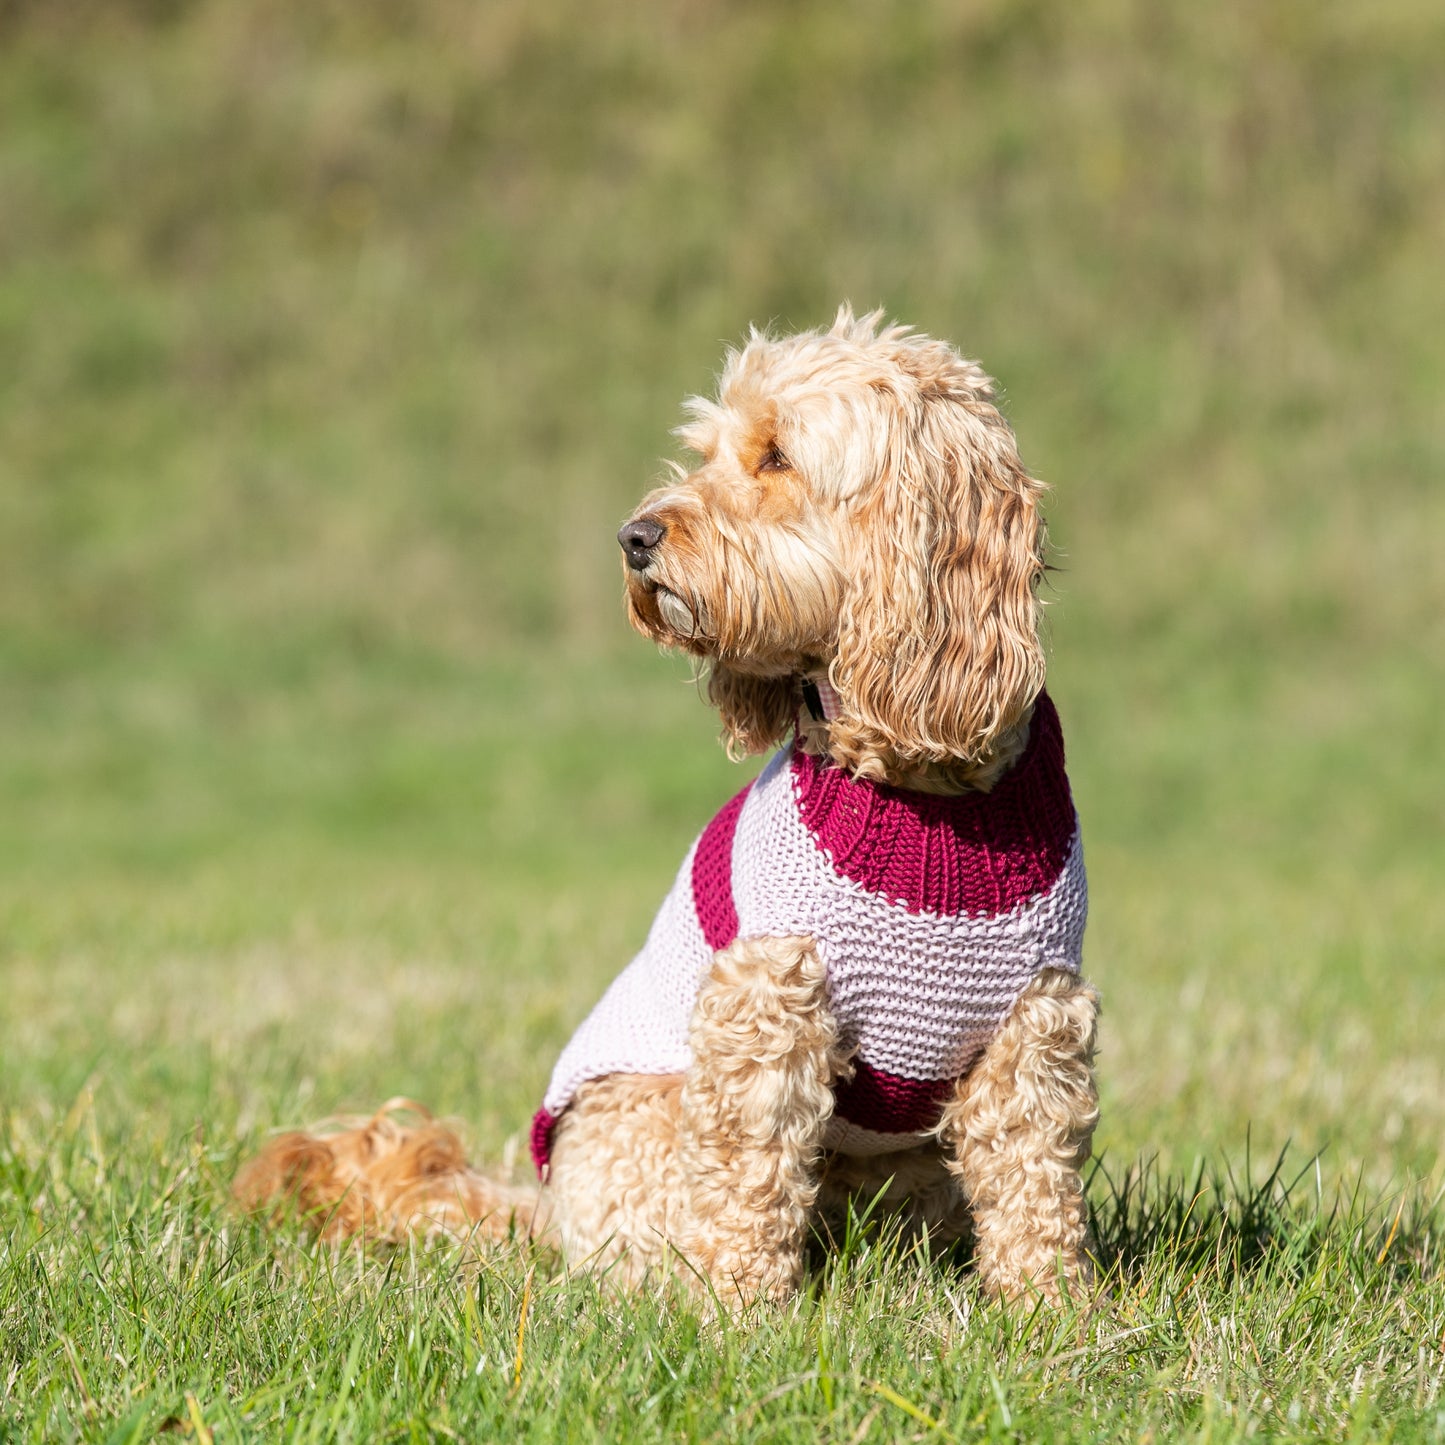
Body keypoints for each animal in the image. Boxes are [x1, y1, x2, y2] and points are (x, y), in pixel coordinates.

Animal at [234, 307, 1092, 1312]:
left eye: (775, 457)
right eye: (707, 451)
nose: (633, 535)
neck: (921, 796)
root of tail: (543, 1208)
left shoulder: (1036, 1023)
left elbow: (1034, 1178)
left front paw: (1053, 1309)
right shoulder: (765, 1004)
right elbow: (750, 1176)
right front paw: (742, 1311)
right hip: (640, 1124)